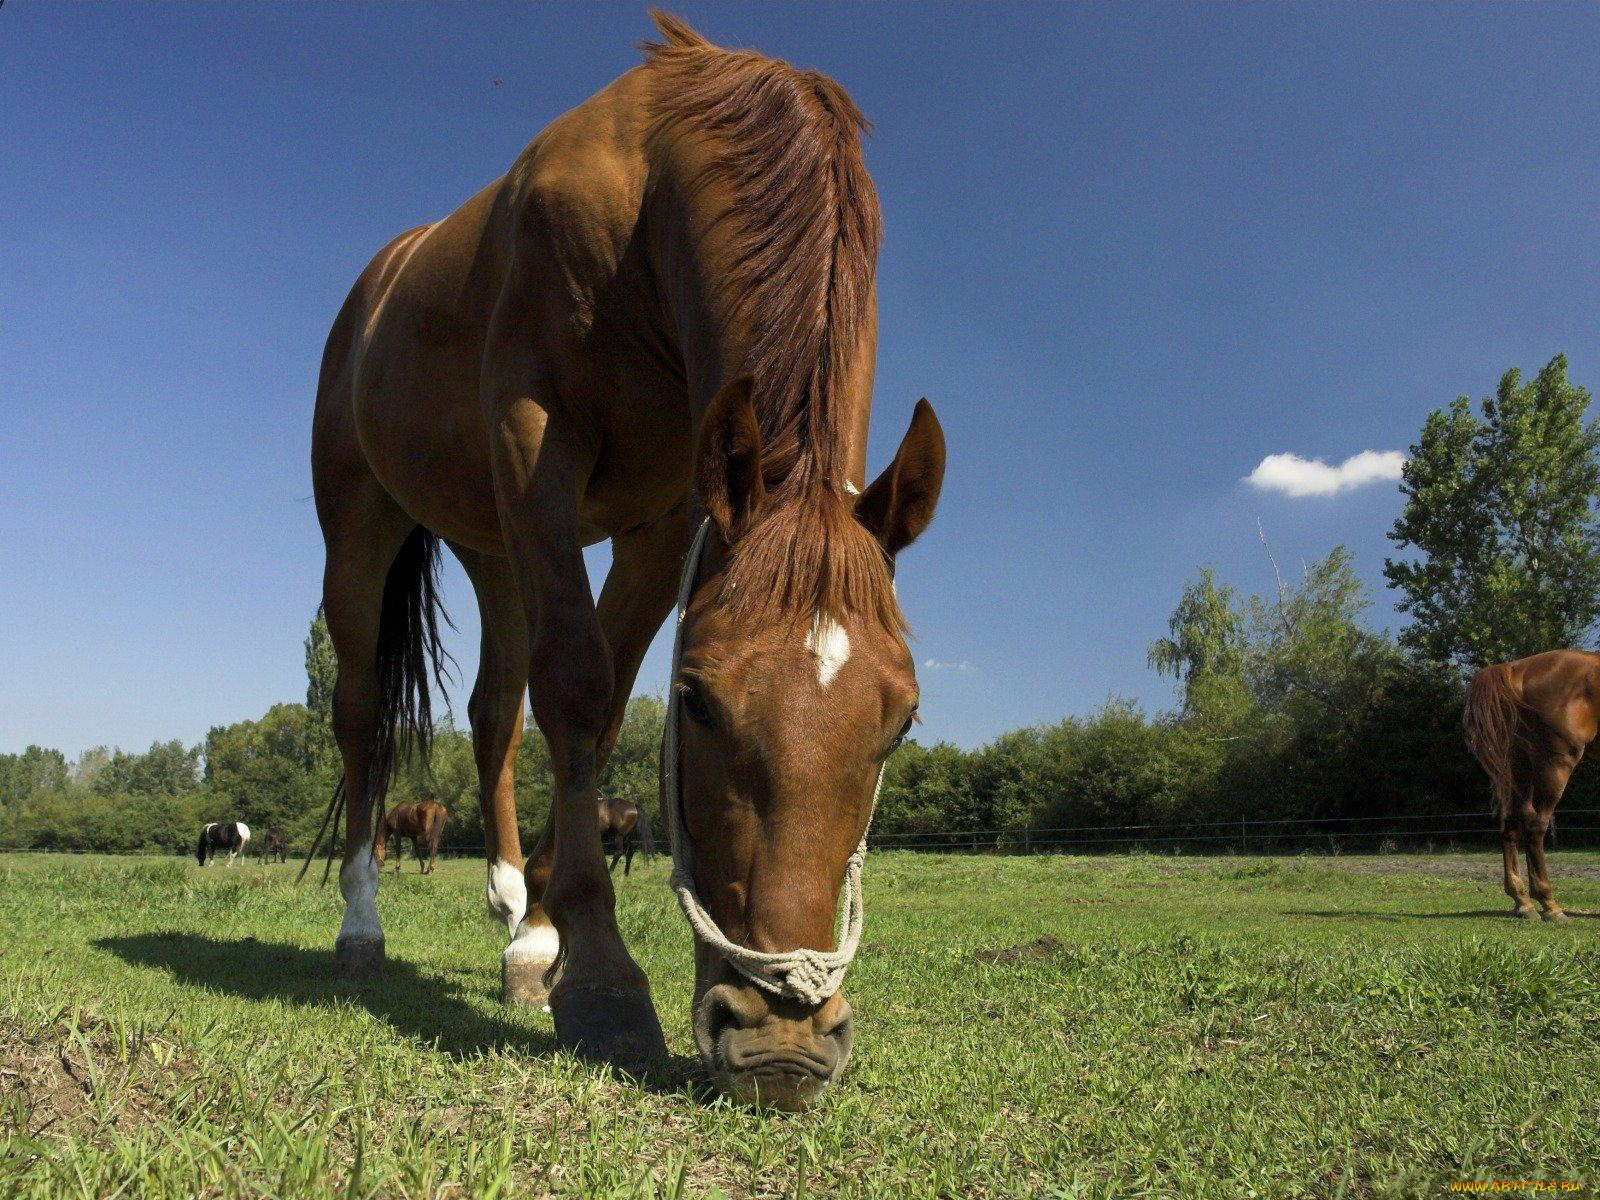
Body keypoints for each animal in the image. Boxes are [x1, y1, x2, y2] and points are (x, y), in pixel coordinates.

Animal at [305, 11, 940, 1107]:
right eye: (698, 703)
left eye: (899, 720)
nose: (782, 1045)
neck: (648, 199)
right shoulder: (536, 442)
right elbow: (578, 683)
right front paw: (601, 977)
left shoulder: (670, 515)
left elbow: (592, 716)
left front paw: (545, 940)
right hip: (361, 525)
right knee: (359, 713)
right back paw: (361, 926)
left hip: (493, 545)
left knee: (493, 714)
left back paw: (514, 917)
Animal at [1465, 652, 1600, 928]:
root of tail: (1515, 669)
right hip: (1556, 764)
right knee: (1536, 826)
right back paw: (1549, 904)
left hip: (1520, 765)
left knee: (1511, 823)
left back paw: (1522, 902)